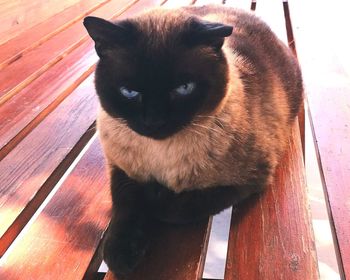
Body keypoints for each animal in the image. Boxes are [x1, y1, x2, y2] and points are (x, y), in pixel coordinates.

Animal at [83, 4, 302, 278]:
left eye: (184, 88)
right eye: (129, 92)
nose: (154, 122)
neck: (159, 155)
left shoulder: (246, 181)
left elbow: (176, 207)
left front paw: (155, 198)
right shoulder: (122, 170)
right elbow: (126, 204)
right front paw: (121, 255)